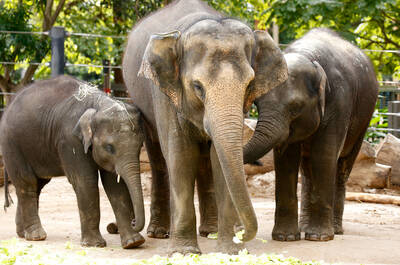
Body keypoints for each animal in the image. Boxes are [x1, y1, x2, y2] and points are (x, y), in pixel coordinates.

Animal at [0, 74, 145, 248]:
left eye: (141, 145)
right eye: (109, 147)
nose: (134, 222)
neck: (99, 103)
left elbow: (115, 185)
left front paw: (133, 243)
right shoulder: (69, 140)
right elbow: (86, 181)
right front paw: (94, 245)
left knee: (38, 185)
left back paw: (23, 233)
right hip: (12, 143)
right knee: (27, 182)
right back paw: (36, 236)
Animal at [122, 0, 288, 254]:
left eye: (249, 85)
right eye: (198, 87)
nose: (243, 235)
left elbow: (219, 158)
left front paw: (229, 250)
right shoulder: (166, 94)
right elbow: (181, 156)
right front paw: (184, 252)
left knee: (204, 161)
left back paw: (210, 231)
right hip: (141, 101)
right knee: (158, 157)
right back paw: (159, 232)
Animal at [244, 28, 378, 241]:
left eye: (296, 107)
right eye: (257, 103)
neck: (308, 56)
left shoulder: (340, 101)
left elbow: (324, 154)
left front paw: (319, 238)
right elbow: (286, 158)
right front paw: (285, 238)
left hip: (364, 119)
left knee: (343, 165)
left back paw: (335, 230)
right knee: (307, 169)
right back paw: (306, 226)